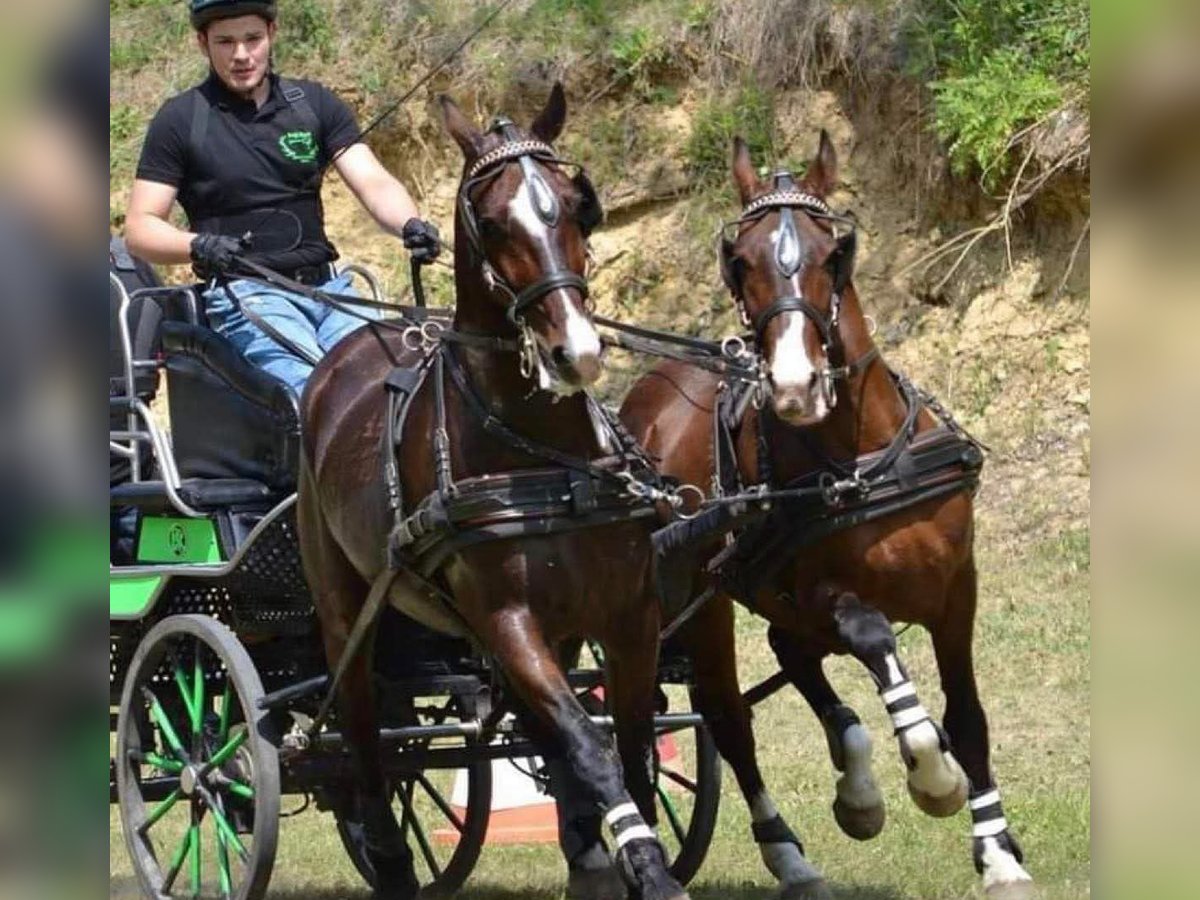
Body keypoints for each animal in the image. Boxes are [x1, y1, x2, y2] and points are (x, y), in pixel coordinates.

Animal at [300, 88, 691, 900]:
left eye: (577, 205)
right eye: (490, 220)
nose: (577, 352)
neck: (543, 450)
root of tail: (337, 362)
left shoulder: (628, 613)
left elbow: (630, 744)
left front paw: (622, 855)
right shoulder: (508, 619)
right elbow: (591, 742)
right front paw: (644, 861)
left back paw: (584, 852)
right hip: (345, 610)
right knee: (363, 734)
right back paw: (391, 860)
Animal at [619, 133, 1032, 900]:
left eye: (832, 252)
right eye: (740, 260)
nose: (794, 386)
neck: (863, 455)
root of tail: (651, 393)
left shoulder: (957, 590)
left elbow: (967, 716)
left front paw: (998, 852)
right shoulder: (825, 595)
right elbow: (880, 650)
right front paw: (934, 778)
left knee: (794, 659)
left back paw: (858, 788)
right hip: (705, 601)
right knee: (729, 717)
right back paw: (789, 853)